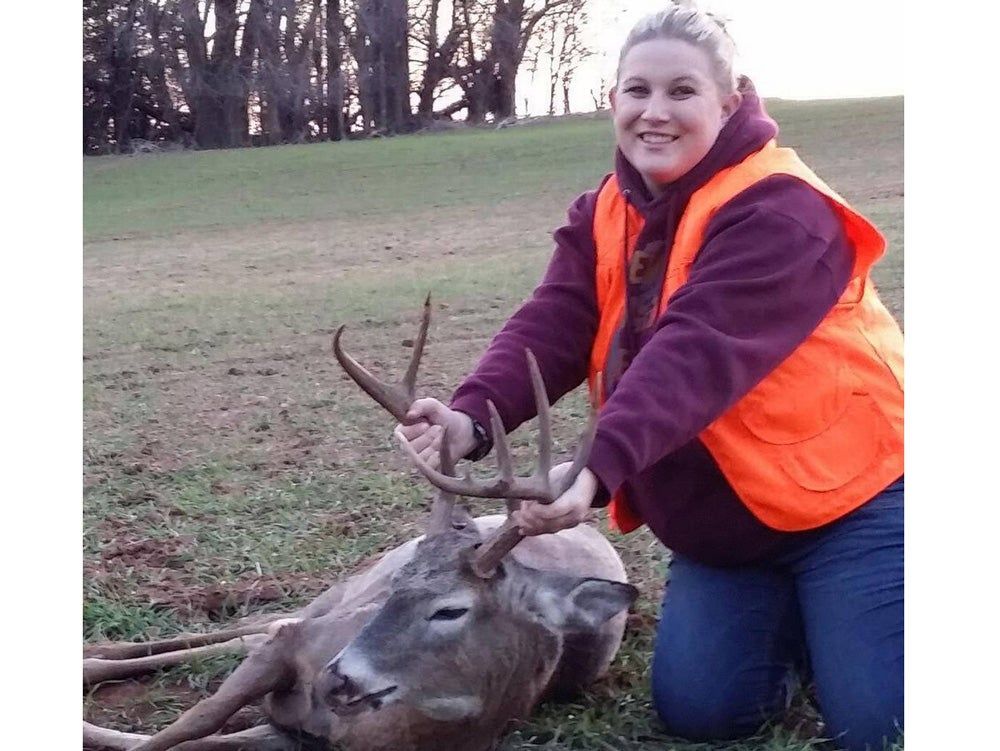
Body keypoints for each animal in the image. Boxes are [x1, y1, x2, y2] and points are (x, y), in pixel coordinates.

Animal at [83, 298, 638, 751]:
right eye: (398, 590)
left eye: (450, 610)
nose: (335, 681)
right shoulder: (298, 645)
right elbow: (188, 724)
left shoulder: (298, 733)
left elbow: (192, 737)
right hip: (342, 592)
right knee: (254, 627)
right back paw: (94, 655)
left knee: (252, 632)